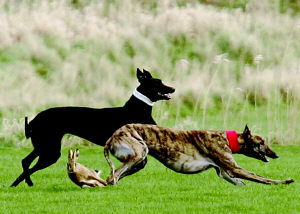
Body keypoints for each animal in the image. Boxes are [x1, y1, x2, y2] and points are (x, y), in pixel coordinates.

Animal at [10, 69, 176, 187]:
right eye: (157, 83)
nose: (173, 89)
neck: (136, 108)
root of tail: (33, 120)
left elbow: (140, 163)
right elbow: (138, 163)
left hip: (43, 147)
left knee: (25, 161)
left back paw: (20, 183)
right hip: (50, 151)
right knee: (29, 165)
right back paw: (23, 182)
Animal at [104, 123, 294, 186]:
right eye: (261, 142)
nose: (276, 155)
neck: (228, 138)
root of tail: (111, 137)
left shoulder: (226, 173)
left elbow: (241, 183)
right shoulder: (235, 169)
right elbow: (262, 178)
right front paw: (284, 182)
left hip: (140, 161)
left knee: (112, 177)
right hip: (140, 153)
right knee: (112, 177)